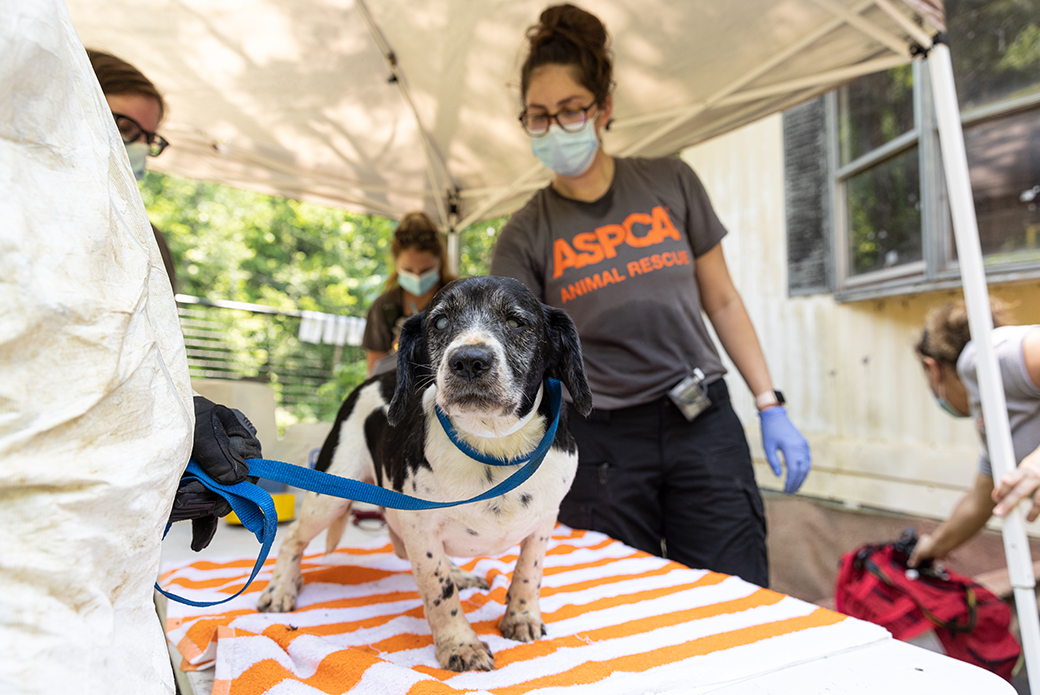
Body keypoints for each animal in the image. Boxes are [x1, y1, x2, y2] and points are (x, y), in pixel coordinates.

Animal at [255, 276, 590, 674]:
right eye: (440, 322)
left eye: (516, 321)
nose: (469, 361)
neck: (494, 447)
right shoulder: (420, 527)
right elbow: (438, 588)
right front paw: (460, 644)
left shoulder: (544, 521)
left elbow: (529, 572)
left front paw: (521, 616)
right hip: (329, 493)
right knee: (292, 538)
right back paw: (281, 588)